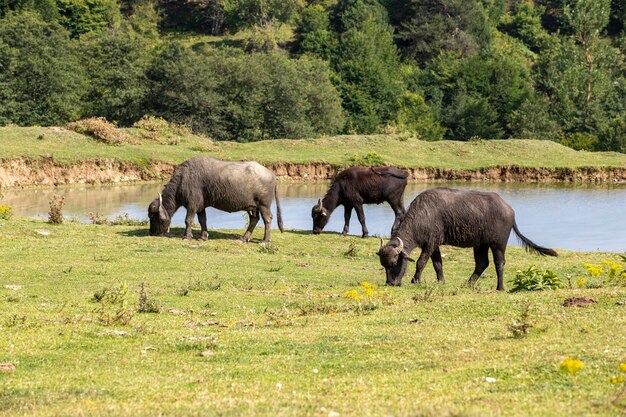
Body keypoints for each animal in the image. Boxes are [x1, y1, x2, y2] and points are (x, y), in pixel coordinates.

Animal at [146, 155, 282, 240]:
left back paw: (265, 240)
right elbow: (202, 220)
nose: (151, 232)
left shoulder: (192, 205)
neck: (183, 180)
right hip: (252, 207)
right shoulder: (200, 206)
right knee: (254, 219)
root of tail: (271, 174)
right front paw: (203, 236)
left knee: (267, 219)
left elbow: (188, 220)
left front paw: (186, 236)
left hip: (264, 205)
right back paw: (245, 238)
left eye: (152, 216)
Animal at [376, 188, 556, 290]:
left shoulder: (430, 243)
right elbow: (437, 264)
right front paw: (441, 281)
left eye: (394, 263)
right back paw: (468, 284)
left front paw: (415, 280)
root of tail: (509, 210)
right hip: (480, 244)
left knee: (499, 263)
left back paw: (500, 287)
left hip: (498, 243)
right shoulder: (435, 245)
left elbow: (421, 262)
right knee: (482, 263)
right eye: (383, 266)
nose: (390, 283)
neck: (423, 215)